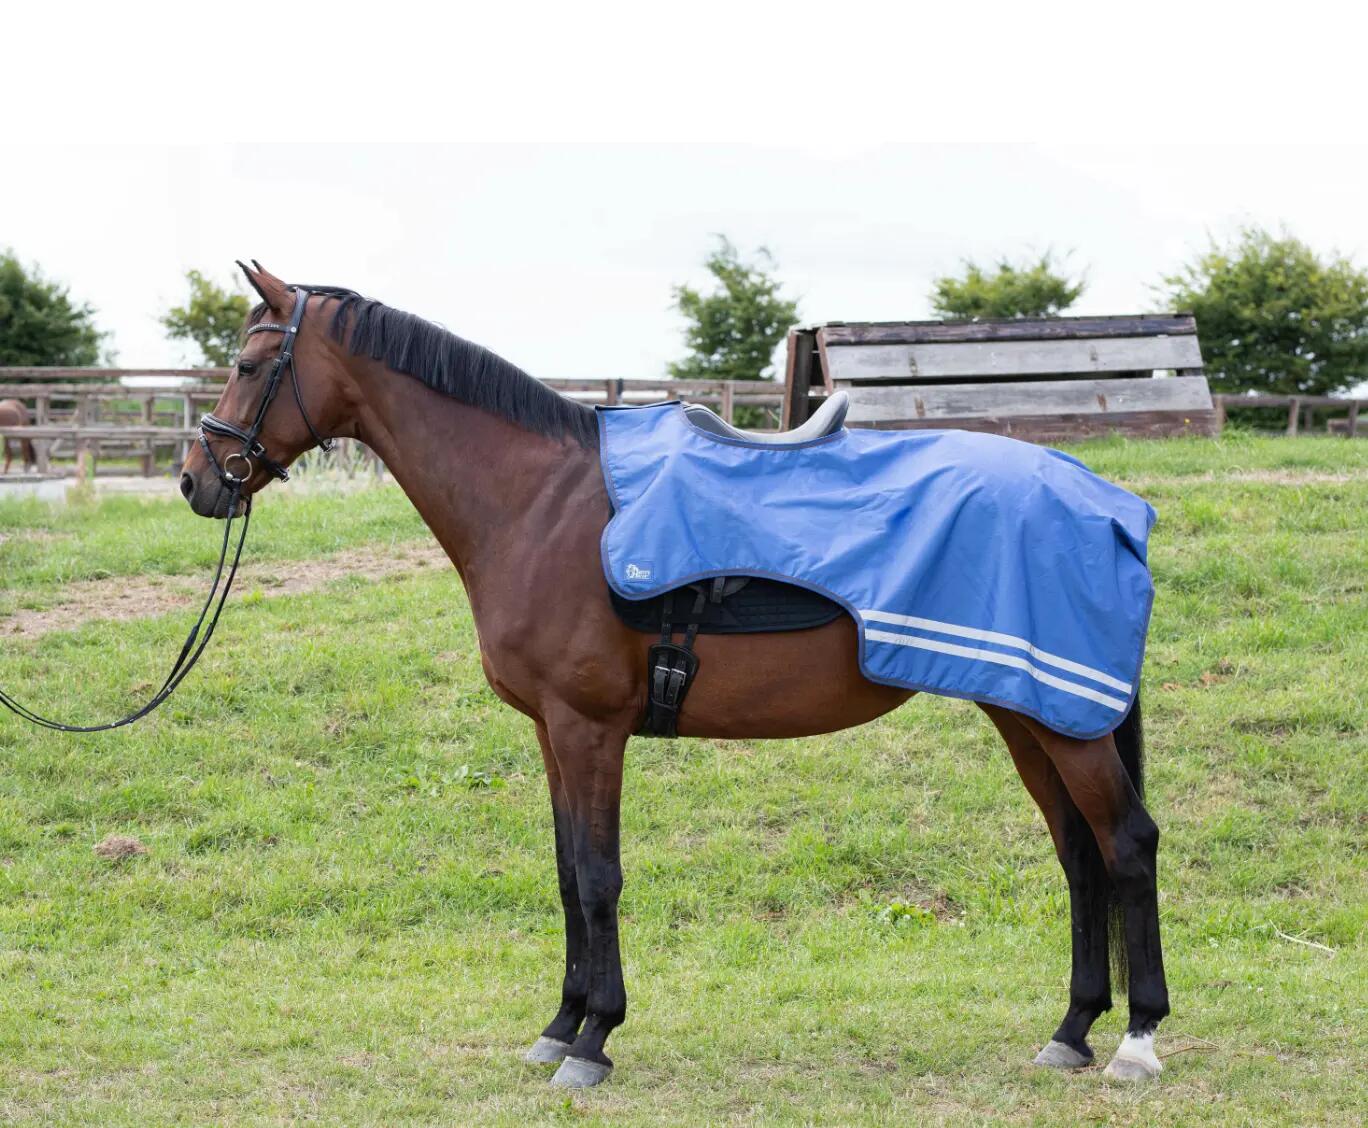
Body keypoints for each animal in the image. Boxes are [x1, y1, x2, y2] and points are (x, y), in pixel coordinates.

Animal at [179, 263, 1170, 1088]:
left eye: (248, 363)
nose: (197, 480)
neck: (539, 506)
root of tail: (1108, 506)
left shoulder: (590, 729)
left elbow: (598, 875)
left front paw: (593, 1041)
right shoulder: (550, 731)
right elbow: (565, 872)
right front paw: (559, 1026)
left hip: (1064, 721)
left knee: (1126, 844)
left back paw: (1136, 1040)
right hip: (1028, 713)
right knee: (1079, 854)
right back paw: (1072, 1030)